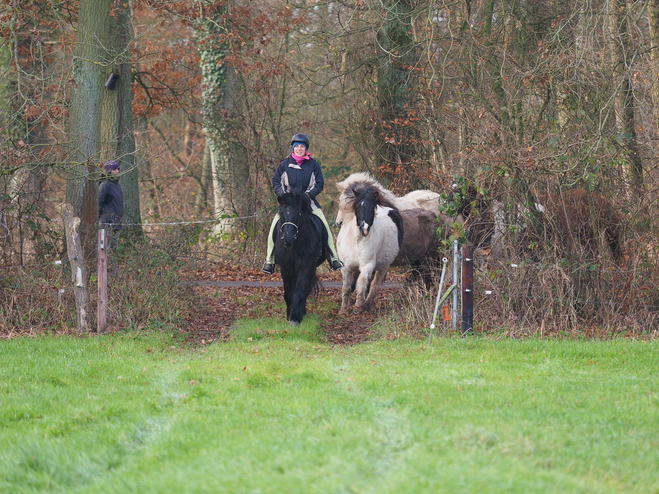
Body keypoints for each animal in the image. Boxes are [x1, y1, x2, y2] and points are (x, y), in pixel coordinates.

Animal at [272, 189, 328, 324]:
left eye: (298, 214)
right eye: (282, 214)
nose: (288, 240)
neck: (295, 245)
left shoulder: (306, 267)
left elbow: (300, 292)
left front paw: (295, 318)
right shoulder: (286, 268)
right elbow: (289, 293)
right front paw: (289, 315)